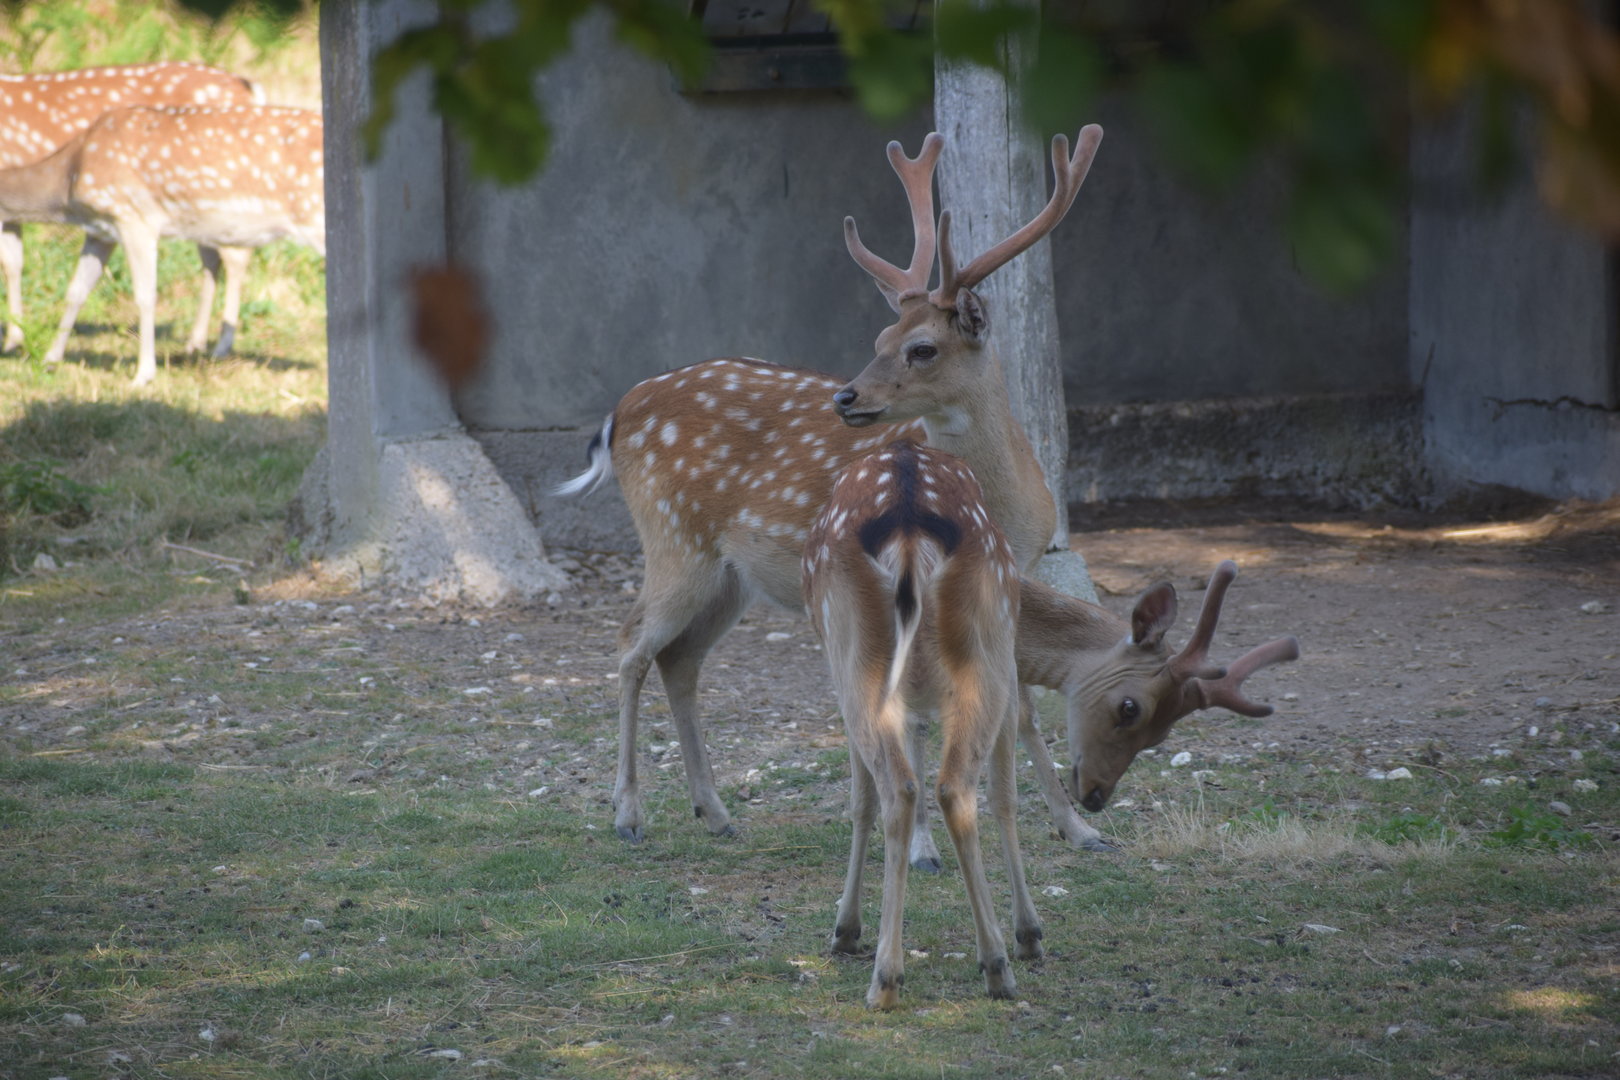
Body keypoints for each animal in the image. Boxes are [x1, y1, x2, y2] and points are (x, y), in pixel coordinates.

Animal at [0, 62, 261, 355]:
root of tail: (247, 86)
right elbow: (13, 262)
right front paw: (14, 339)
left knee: (235, 256)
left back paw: (221, 346)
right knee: (212, 259)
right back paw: (196, 342)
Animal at [0, 103, 324, 384]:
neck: (69, 181)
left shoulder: (133, 217)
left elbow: (145, 296)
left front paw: (143, 374)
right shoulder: (101, 231)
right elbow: (77, 290)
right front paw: (50, 359)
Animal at [558, 126, 1131, 857]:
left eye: (921, 347)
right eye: (880, 336)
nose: (847, 397)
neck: (1009, 504)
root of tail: (620, 413)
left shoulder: (1011, 581)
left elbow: (1019, 707)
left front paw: (1079, 829)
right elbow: (920, 708)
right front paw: (923, 847)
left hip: (730, 575)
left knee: (678, 659)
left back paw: (715, 811)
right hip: (673, 536)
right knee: (632, 643)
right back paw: (628, 813)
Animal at [805, 441, 1041, 1009]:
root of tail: (908, 527)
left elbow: (862, 799)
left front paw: (846, 928)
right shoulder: (1009, 665)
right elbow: (1006, 797)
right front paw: (1029, 931)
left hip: (856, 659)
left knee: (905, 787)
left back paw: (889, 972)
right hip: (985, 647)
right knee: (947, 787)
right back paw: (987, 964)